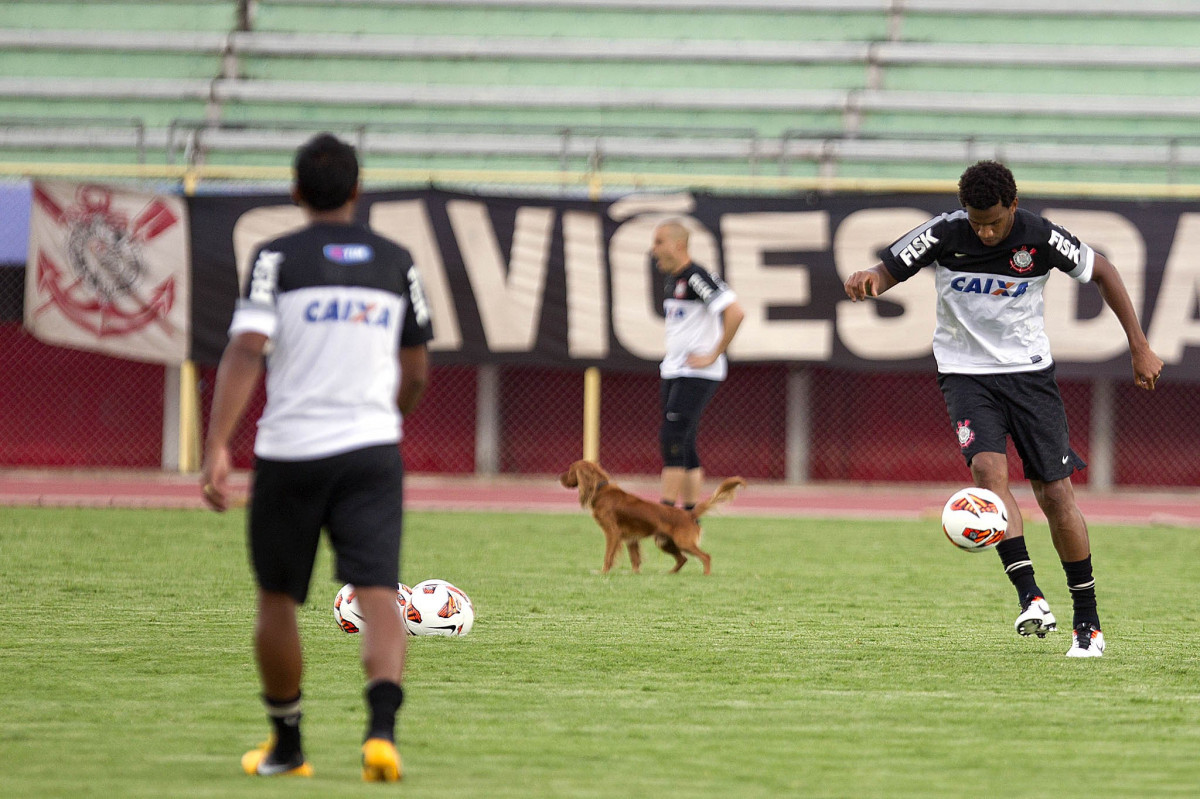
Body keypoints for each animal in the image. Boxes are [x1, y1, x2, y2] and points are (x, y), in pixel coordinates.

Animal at [559, 460, 744, 573]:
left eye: (570, 470)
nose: (560, 477)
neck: (600, 489)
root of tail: (689, 514)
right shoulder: (631, 539)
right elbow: (635, 559)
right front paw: (635, 574)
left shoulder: (613, 533)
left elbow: (608, 556)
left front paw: (603, 572)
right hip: (665, 542)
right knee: (682, 559)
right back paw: (669, 573)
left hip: (682, 542)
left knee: (705, 557)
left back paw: (706, 574)